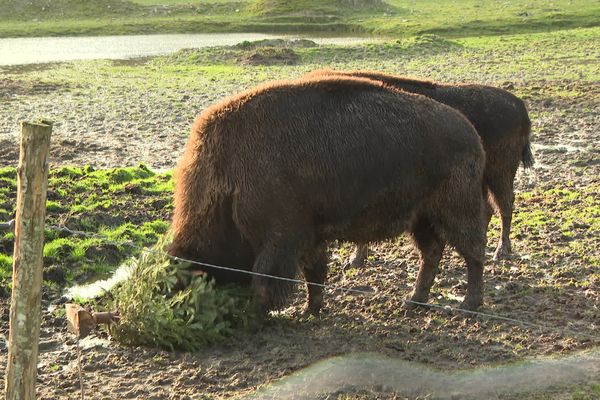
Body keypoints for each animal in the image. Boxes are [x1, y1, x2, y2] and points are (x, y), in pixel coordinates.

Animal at [169, 76, 488, 318]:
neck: (226, 181)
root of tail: (470, 133)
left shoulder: (281, 239)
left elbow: (267, 280)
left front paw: (257, 315)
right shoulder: (310, 237)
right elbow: (315, 274)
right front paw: (310, 310)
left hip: (455, 211)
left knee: (473, 253)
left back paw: (468, 305)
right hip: (420, 218)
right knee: (432, 251)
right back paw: (415, 301)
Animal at [304, 70, 536, 266]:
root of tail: (519, 106)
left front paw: (355, 259)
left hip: (500, 173)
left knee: (505, 205)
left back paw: (501, 252)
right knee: (489, 207)